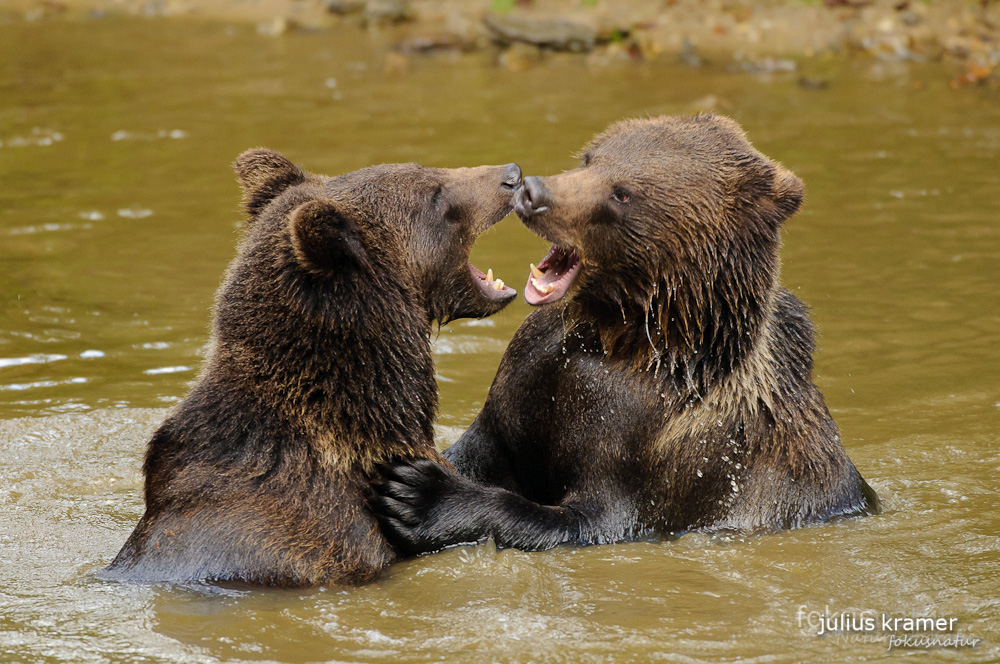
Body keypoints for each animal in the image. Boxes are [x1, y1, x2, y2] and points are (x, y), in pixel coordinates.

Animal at [372, 115, 880, 556]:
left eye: (622, 194)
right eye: (590, 158)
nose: (533, 191)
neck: (617, 336)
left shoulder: (655, 445)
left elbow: (585, 518)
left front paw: (419, 495)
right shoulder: (537, 368)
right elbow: (487, 439)